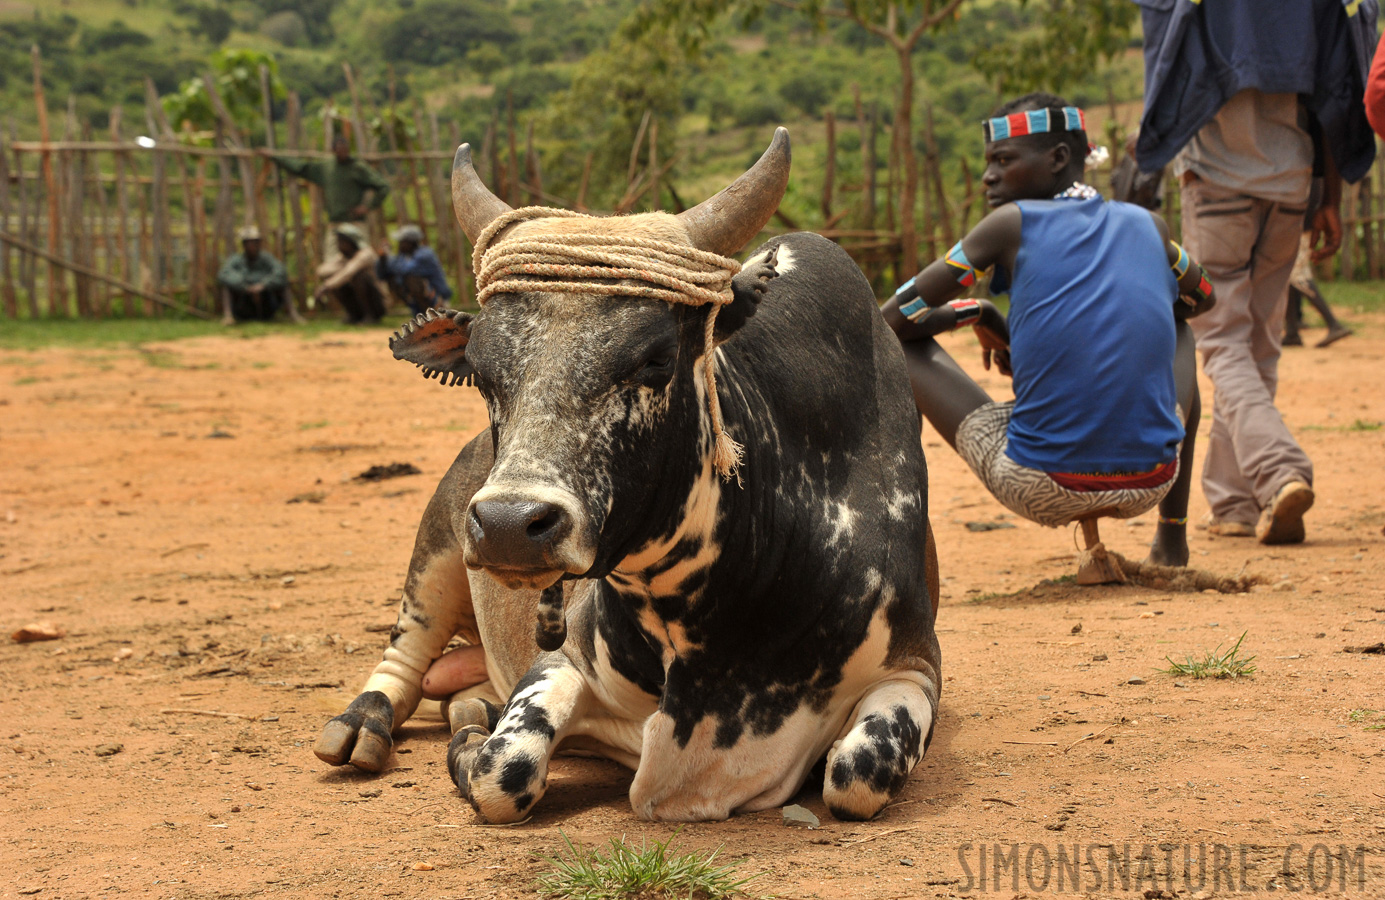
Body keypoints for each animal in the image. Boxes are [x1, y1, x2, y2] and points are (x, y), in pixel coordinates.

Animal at [313, 128, 941, 819]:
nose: (507, 525)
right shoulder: (562, 662)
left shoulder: (914, 667)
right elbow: (501, 767)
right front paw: (473, 742)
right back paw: (361, 725)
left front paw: (470, 722)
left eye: (655, 358)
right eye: (480, 371)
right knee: (403, 654)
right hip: (435, 554)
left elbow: (856, 774)